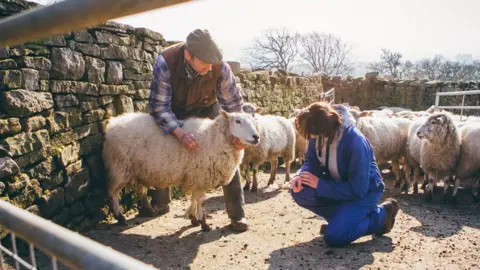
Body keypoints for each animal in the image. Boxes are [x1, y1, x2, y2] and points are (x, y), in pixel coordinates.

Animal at [101, 109, 258, 230]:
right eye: (237, 121)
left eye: (253, 120)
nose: (256, 137)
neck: (213, 138)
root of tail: (112, 123)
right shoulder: (201, 175)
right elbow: (201, 200)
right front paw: (204, 224)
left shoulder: (196, 176)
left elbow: (194, 198)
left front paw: (194, 218)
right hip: (119, 166)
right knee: (112, 192)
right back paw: (120, 216)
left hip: (136, 169)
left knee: (139, 189)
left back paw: (147, 209)